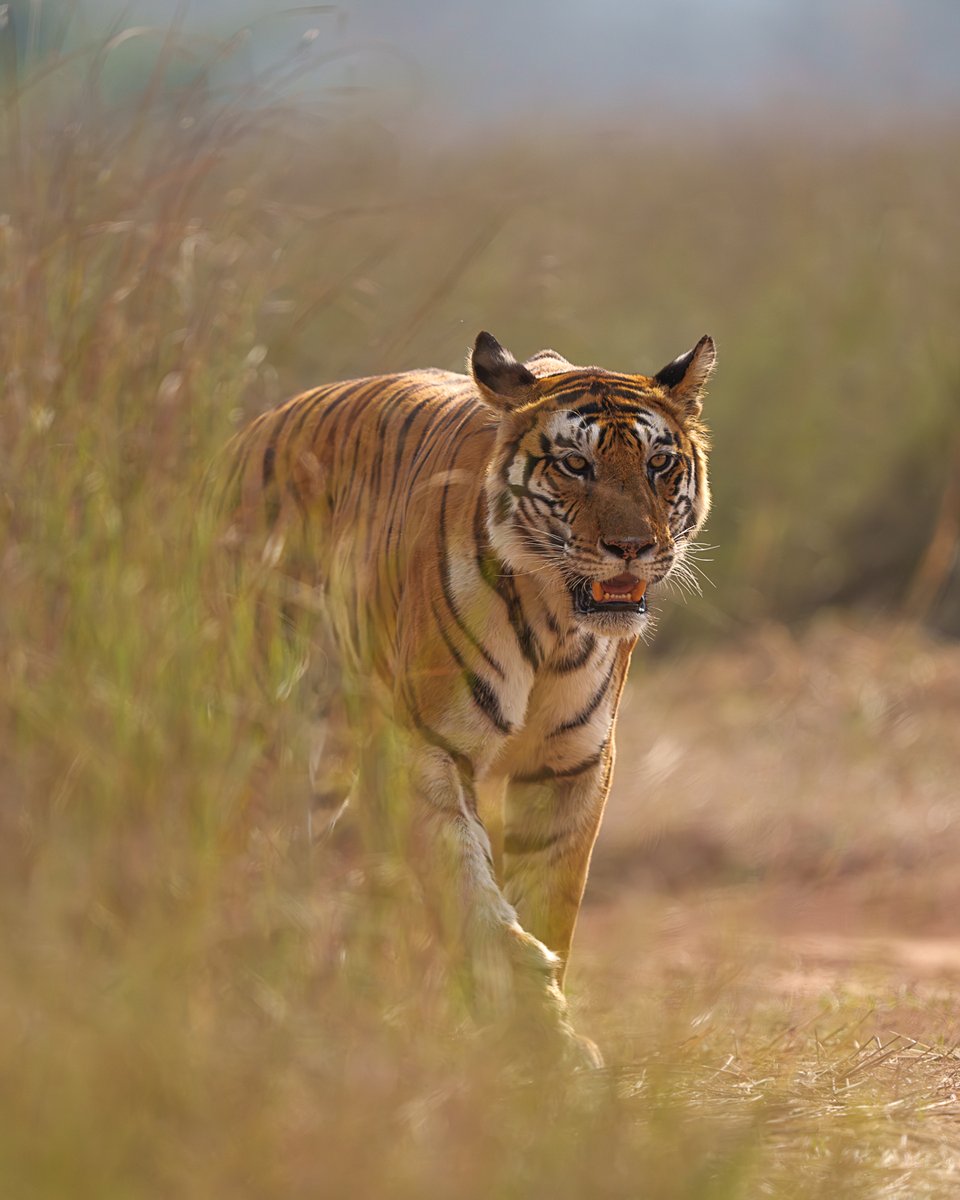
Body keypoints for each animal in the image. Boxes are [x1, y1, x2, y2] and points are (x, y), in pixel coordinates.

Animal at [220, 330, 715, 1065]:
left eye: (658, 464)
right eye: (575, 465)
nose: (631, 547)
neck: (554, 619)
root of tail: (250, 434)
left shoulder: (572, 763)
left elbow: (550, 897)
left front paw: (546, 1039)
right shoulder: (428, 748)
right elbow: (465, 887)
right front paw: (521, 1001)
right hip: (273, 728)